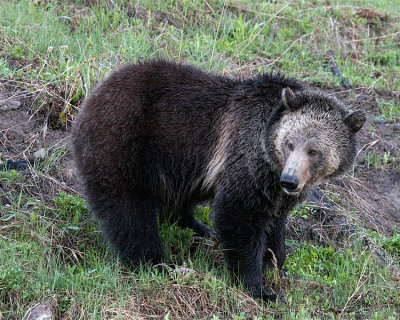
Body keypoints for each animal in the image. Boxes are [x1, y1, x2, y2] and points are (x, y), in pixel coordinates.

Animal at [72, 59, 366, 300]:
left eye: (314, 151)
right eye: (290, 143)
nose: (290, 181)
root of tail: (92, 96)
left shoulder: (278, 189)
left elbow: (276, 221)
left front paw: (275, 261)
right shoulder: (248, 157)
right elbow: (239, 214)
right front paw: (258, 287)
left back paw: (198, 227)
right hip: (126, 141)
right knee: (129, 211)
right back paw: (155, 262)